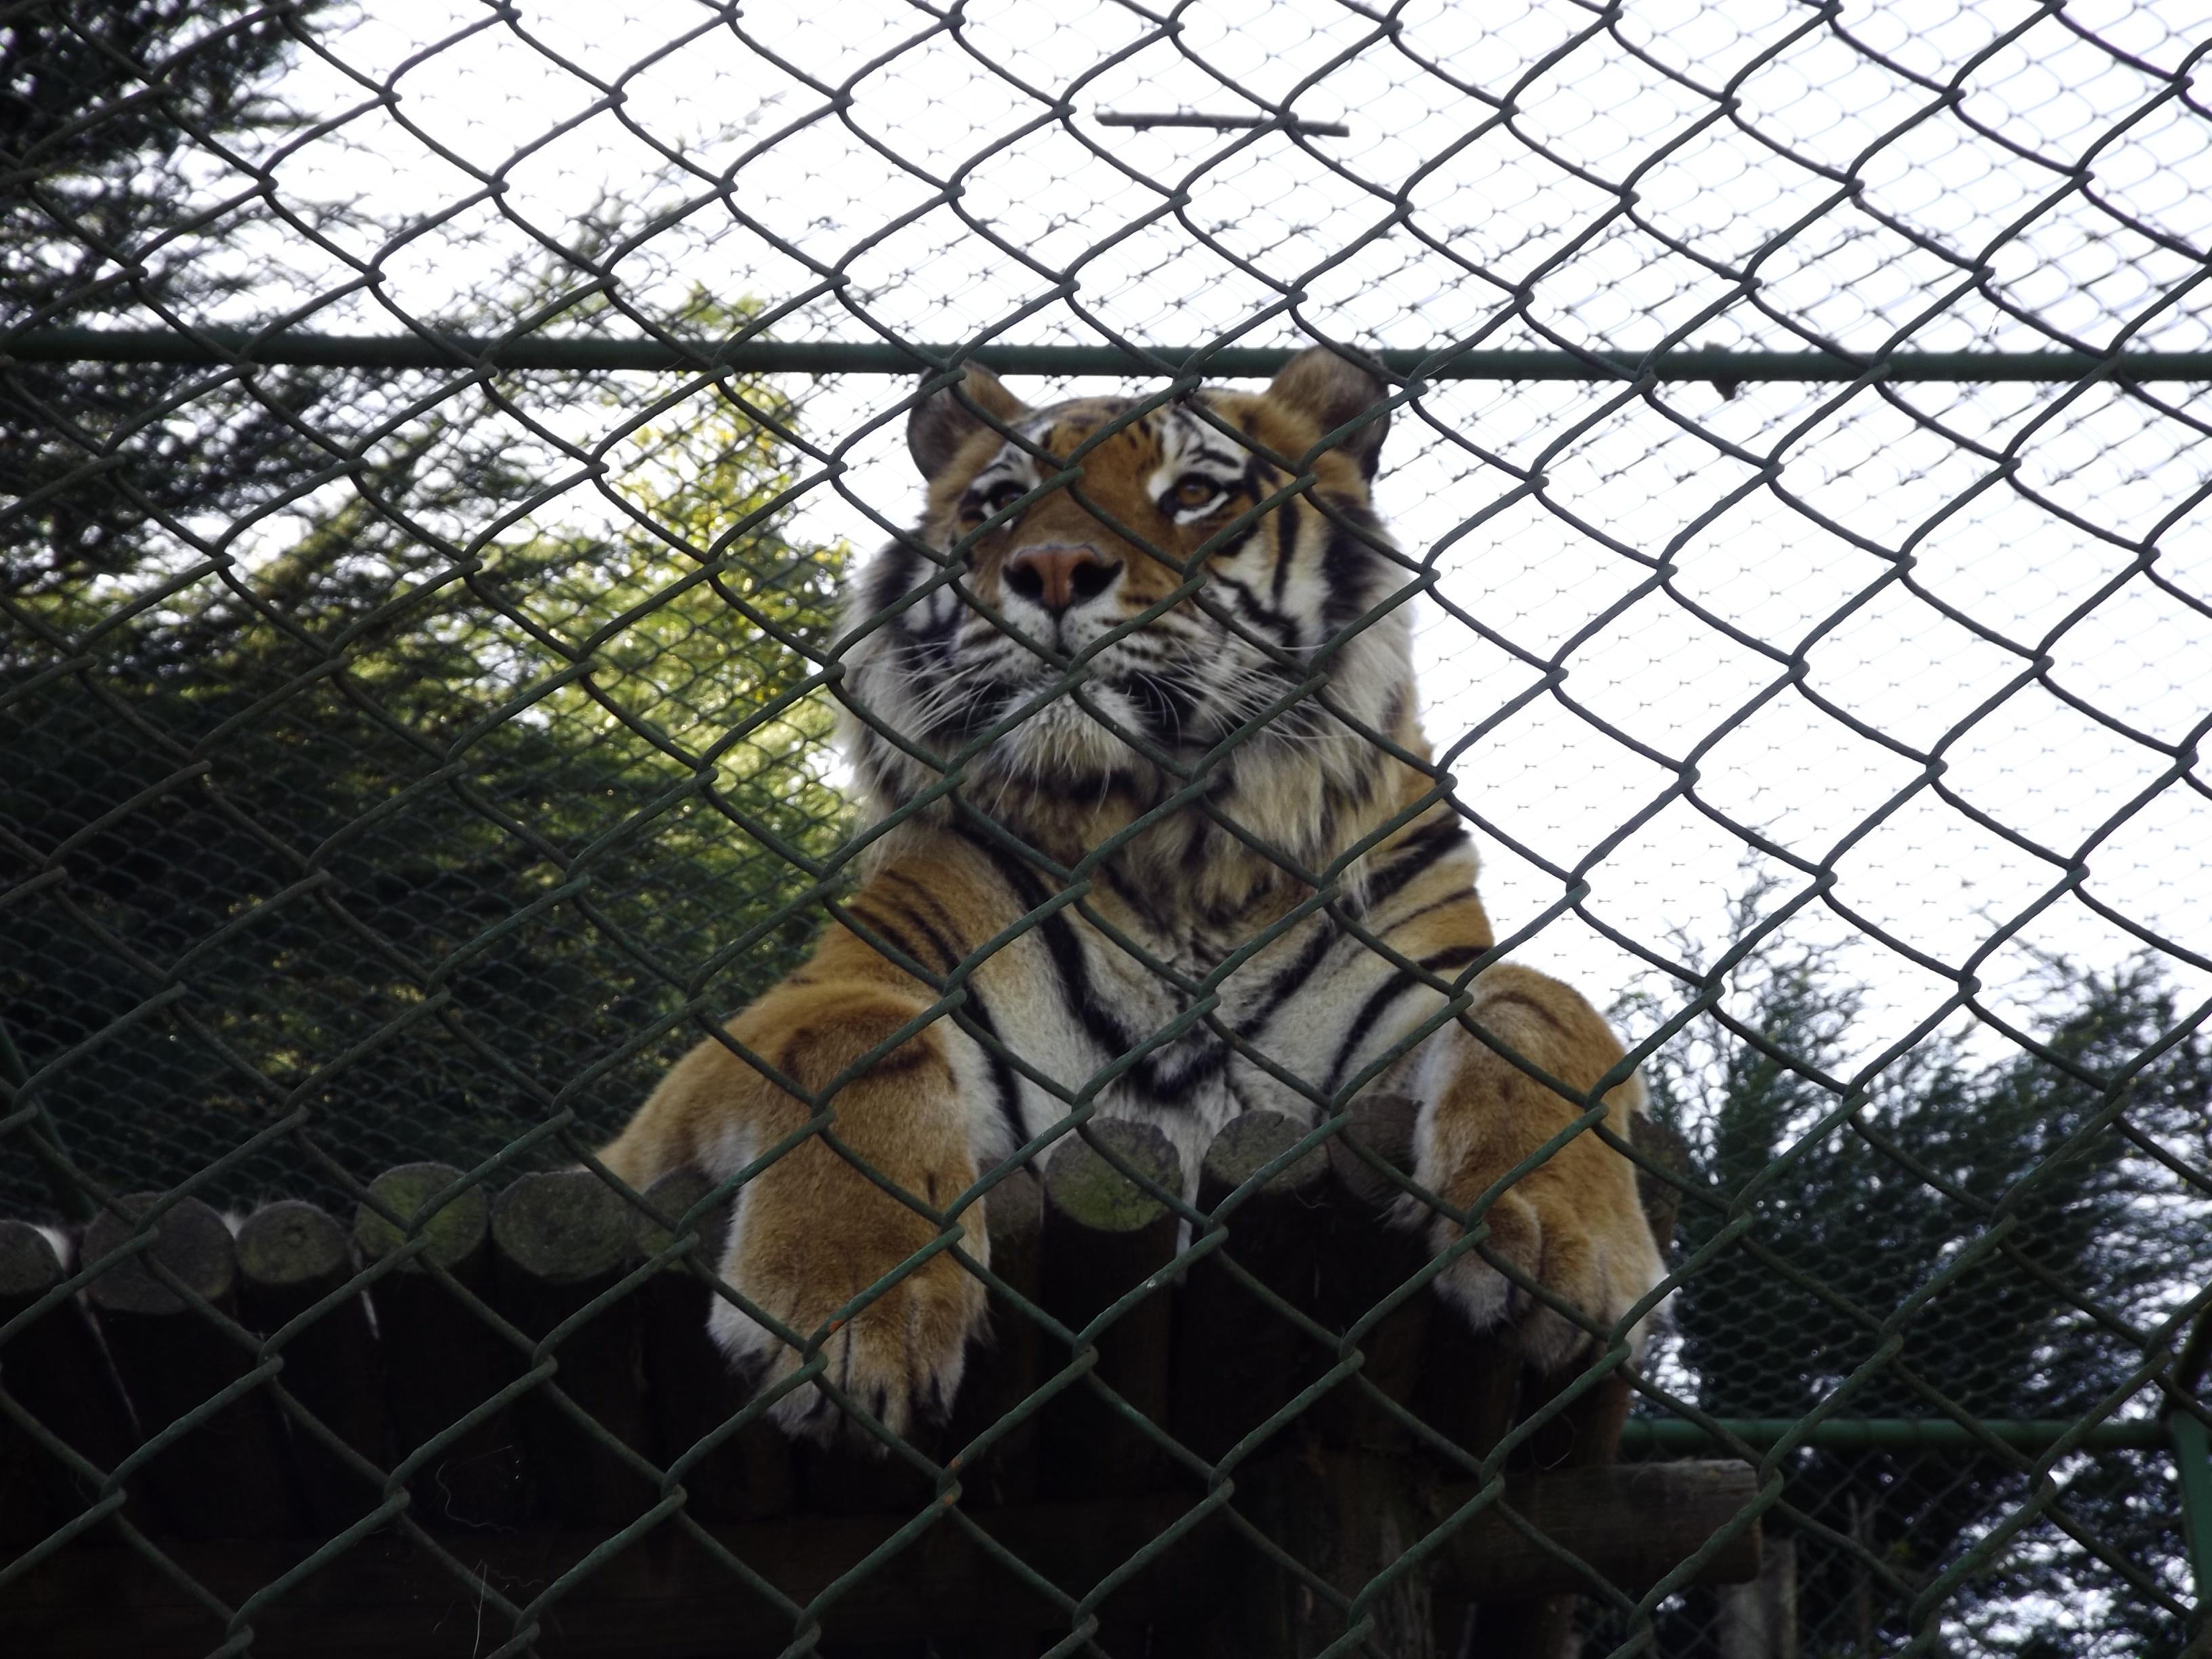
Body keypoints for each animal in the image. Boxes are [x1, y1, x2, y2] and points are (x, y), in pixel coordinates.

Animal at [597, 347, 1663, 1442]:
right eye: (999, 504)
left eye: (1192, 494)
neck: (1176, 856)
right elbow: (855, 1038)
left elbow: (1542, 1007)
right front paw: (852, 1306)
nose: (1053, 570)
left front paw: (1572, 1250)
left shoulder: (1422, 978)